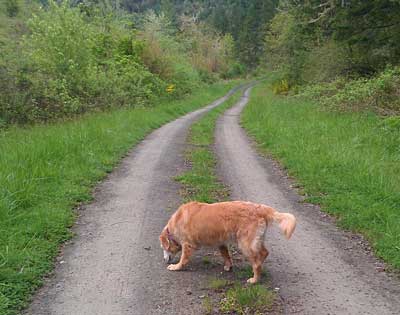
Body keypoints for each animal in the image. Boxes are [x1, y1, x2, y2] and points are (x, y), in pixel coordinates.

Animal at [160, 201, 296, 286]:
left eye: (163, 247)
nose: (164, 259)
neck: (176, 222)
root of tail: (261, 208)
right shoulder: (221, 242)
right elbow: (225, 254)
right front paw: (228, 266)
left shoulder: (187, 244)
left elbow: (183, 259)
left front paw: (176, 267)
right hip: (256, 240)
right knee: (264, 252)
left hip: (245, 243)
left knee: (257, 262)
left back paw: (254, 279)